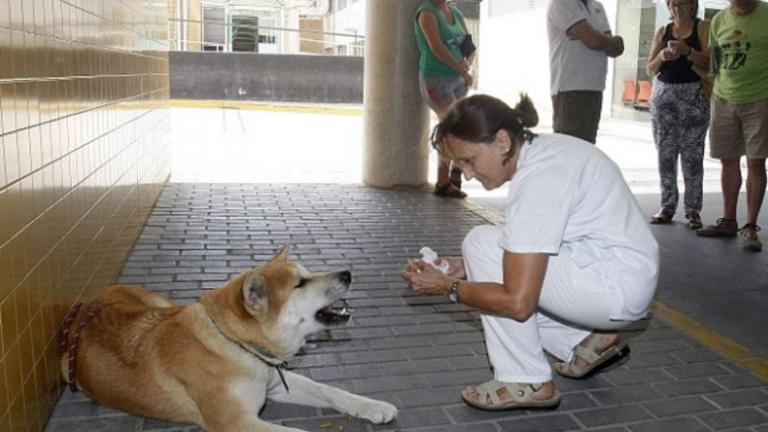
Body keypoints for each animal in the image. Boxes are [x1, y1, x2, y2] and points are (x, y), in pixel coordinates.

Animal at [59, 246, 396, 432]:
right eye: (301, 283)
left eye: (307, 272)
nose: (348, 273)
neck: (238, 346)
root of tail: (88, 305)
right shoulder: (236, 423)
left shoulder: (276, 384)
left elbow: (330, 391)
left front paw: (371, 406)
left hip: (161, 304)